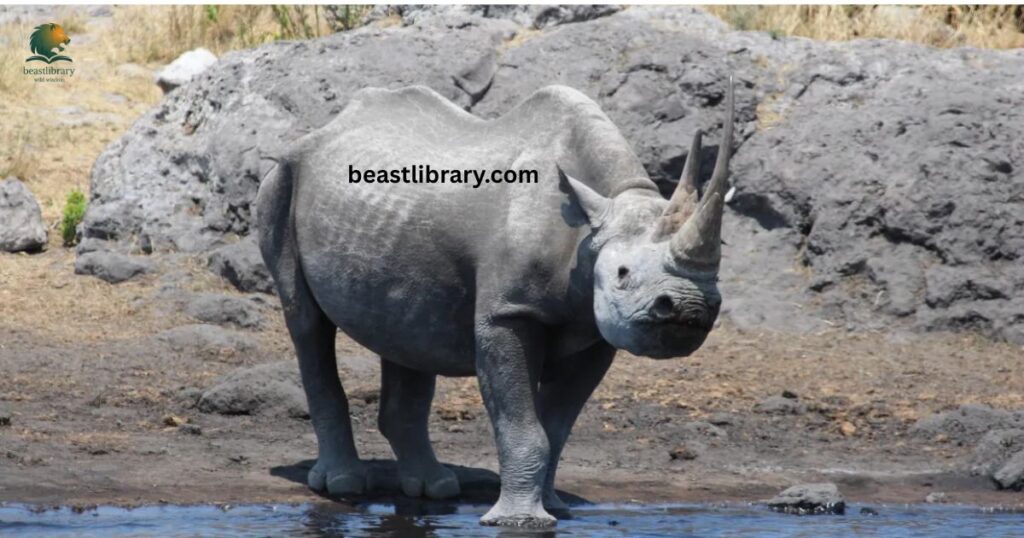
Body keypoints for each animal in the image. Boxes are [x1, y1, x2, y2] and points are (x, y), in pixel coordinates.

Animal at [256, 80, 734, 527]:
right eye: (622, 273)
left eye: (717, 277)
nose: (690, 310)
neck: (590, 227)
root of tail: (325, 128)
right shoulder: (509, 312)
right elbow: (524, 424)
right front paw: (518, 521)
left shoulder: (596, 333)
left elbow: (556, 427)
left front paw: (553, 508)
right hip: (284, 178)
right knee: (307, 323)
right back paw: (342, 485)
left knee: (406, 328)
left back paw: (435, 488)